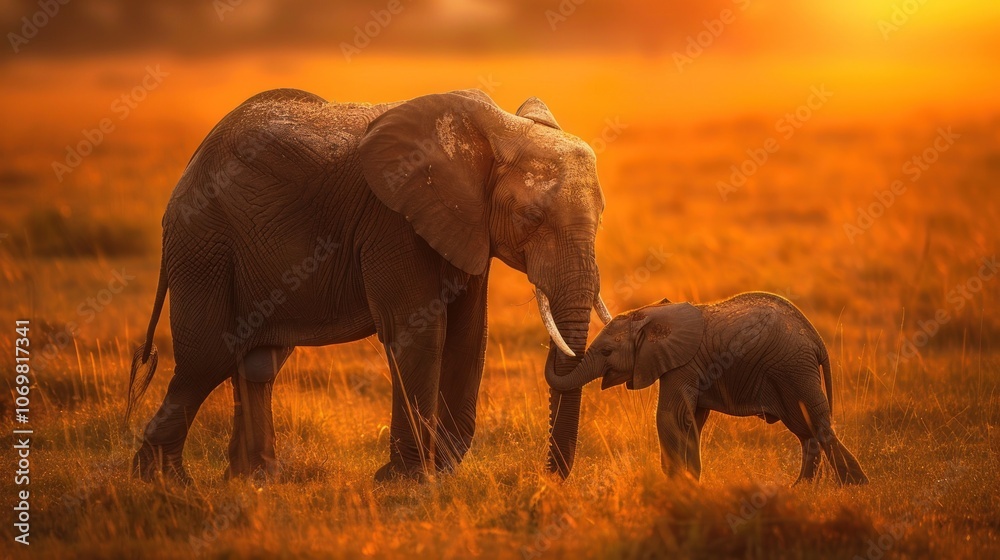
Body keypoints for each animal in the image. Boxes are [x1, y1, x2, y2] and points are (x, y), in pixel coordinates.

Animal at [125, 88, 614, 483]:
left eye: (603, 214)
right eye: (531, 217)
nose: (548, 477)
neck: (496, 132)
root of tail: (192, 163)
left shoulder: (467, 227)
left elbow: (469, 336)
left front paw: (439, 473)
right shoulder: (393, 222)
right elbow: (419, 335)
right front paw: (407, 481)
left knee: (258, 362)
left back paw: (255, 478)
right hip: (203, 243)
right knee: (208, 357)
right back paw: (164, 481)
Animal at [546, 292, 869, 485]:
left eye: (606, 352)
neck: (650, 315)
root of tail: (816, 340)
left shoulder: (682, 364)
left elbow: (669, 417)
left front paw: (676, 485)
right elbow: (692, 420)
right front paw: (689, 482)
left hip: (793, 369)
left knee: (817, 425)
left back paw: (853, 485)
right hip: (792, 372)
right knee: (806, 430)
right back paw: (803, 488)